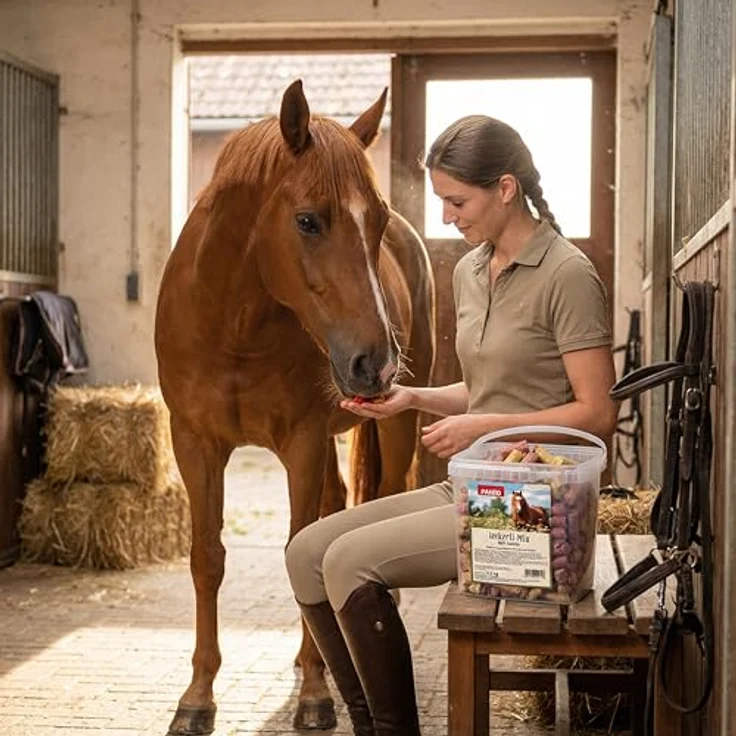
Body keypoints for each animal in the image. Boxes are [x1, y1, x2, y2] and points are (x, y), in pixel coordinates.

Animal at [154, 79, 435, 735]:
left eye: (375, 221)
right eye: (308, 220)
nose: (376, 362)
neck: (232, 324)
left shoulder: (302, 443)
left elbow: (297, 548)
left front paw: (313, 691)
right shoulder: (194, 443)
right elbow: (207, 558)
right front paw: (197, 696)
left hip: (396, 425)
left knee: (379, 497)